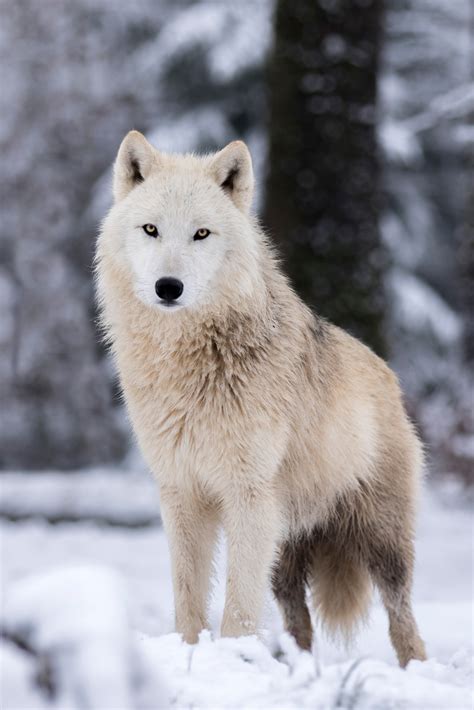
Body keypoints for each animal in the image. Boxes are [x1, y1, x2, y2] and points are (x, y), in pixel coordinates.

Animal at [95, 132, 426, 668]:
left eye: (201, 234)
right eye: (151, 230)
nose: (169, 287)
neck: (192, 365)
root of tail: (388, 375)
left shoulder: (247, 496)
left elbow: (238, 608)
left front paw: (232, 658)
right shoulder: (180, 493)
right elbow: (188, 596)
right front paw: (189, 654)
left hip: (379, 540)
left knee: (402, 615)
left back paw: (414, 666)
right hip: (285, 552)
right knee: (299, 622)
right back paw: (298, 667)